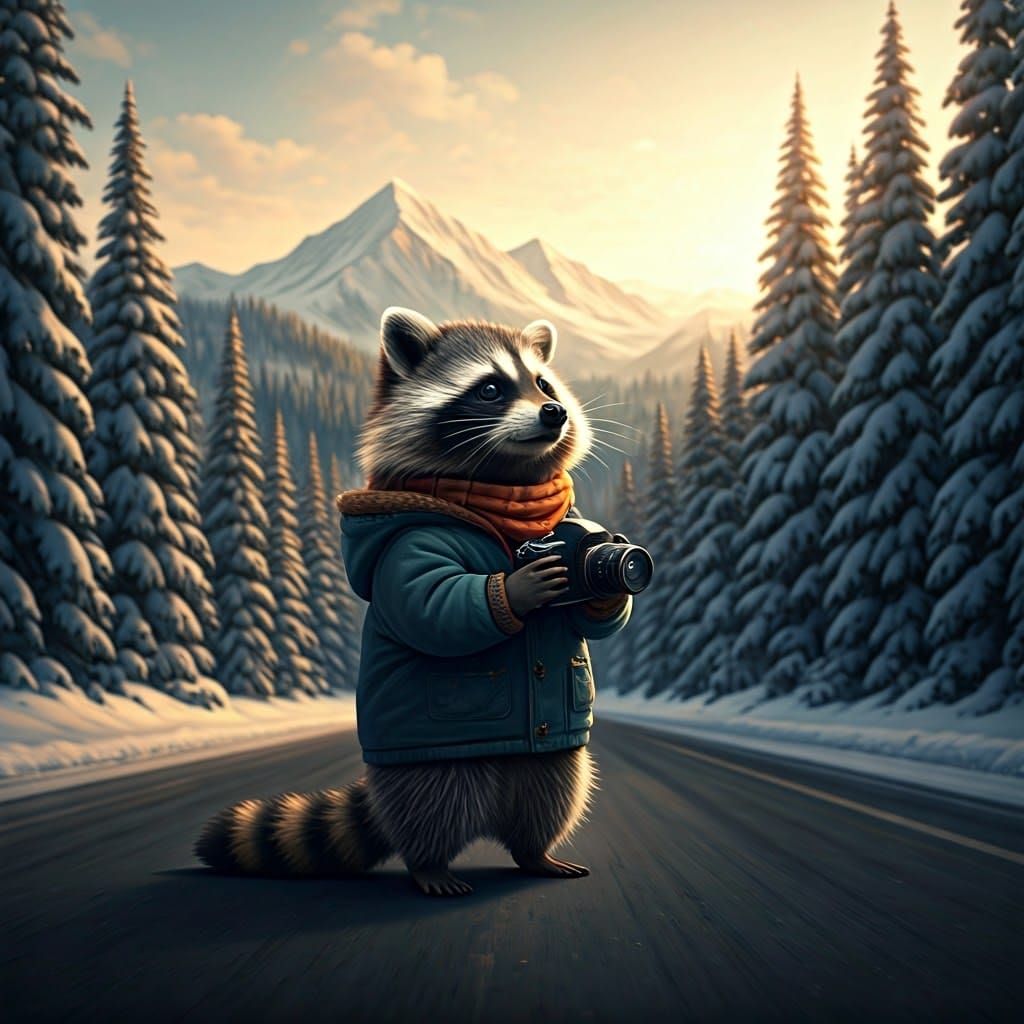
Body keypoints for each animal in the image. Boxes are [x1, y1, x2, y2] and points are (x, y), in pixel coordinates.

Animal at [195, 308, 628, 897]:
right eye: (490, 388)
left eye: (543, 384)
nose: (554, 411)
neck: (503, 486)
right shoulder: (407, 542)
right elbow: (428, 606)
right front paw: (518, 588)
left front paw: (606, 596)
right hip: (425, 764)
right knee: (432, 802)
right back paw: (429, 863)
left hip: (554, 756)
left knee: (552, 787)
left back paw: (535, 851)